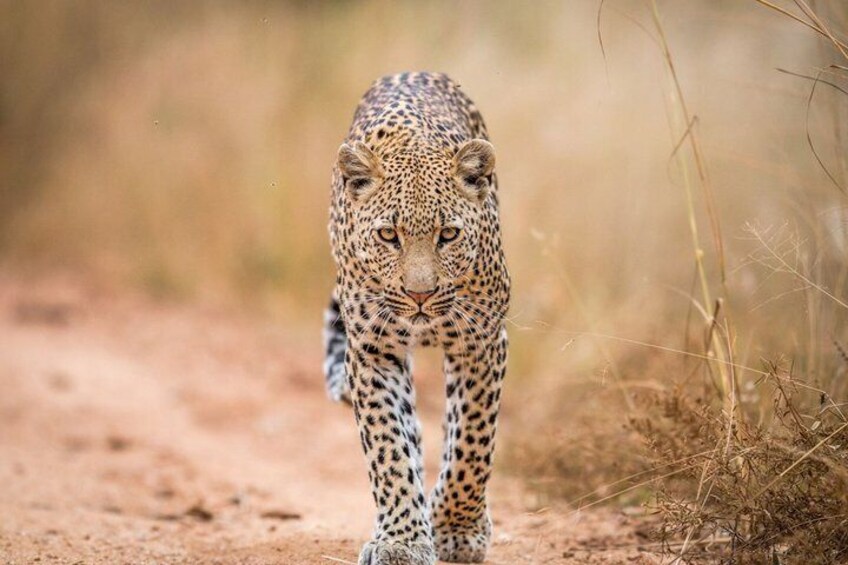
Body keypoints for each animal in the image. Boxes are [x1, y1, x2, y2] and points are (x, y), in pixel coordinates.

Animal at [323, 71, 509, 565]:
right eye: (389, 235)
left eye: (449, 234)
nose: (419, 295)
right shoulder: (371, 351)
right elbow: (388, 447)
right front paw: (402, 540)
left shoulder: (482, 342)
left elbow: (472, 441)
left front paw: (458, 530)